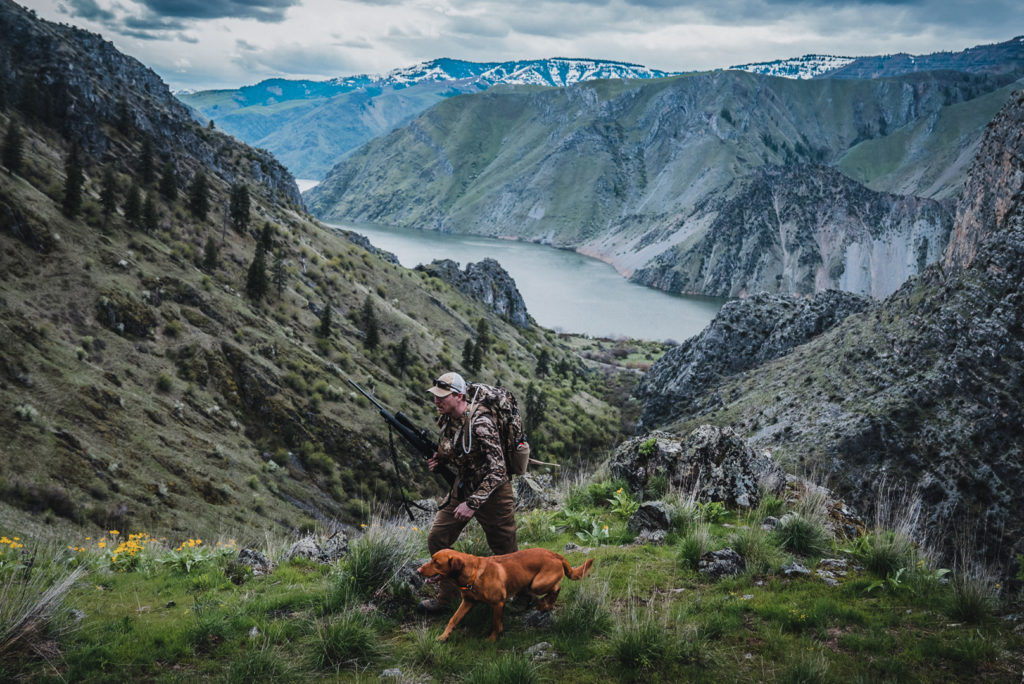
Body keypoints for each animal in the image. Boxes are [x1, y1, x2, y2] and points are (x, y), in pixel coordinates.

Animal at [415, 544, 593, 643]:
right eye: (431, 559)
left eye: (436, 563)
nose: (417, 571)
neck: (473, 573)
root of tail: (555, 554)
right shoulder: (467, 602)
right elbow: (453, 619)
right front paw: (443, 636)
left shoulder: (498, 603)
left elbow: (496, 623)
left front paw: (492, 639)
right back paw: (546, 604)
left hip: (537, 584)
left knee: (556, 588)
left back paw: (545, 604)